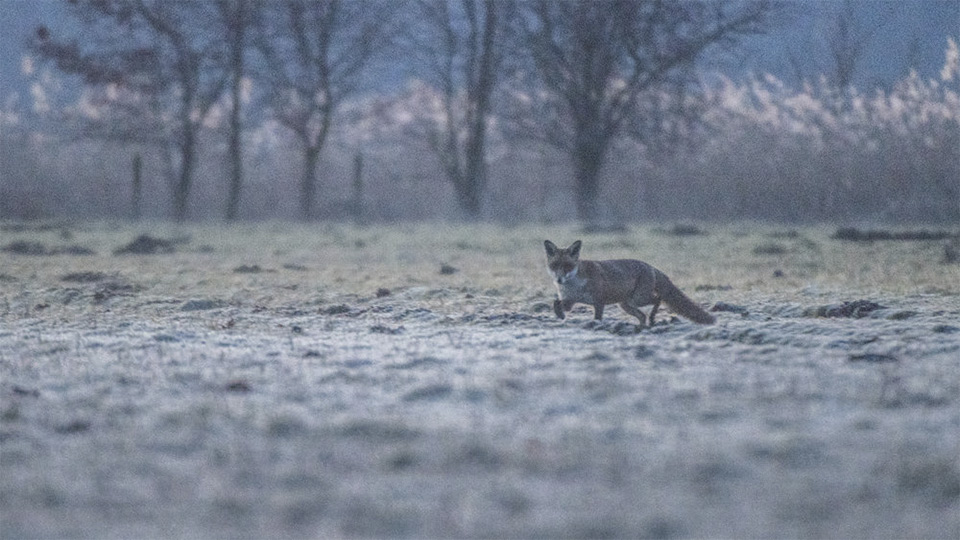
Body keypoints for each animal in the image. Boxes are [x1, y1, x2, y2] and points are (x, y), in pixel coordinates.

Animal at [548, 239, 712, 324]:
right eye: (554, 265)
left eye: (567, 266)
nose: (559, 279)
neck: (574, 286)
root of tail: (651, 266)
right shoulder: (569, 301)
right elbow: (556, 303)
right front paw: (560, 316)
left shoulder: (599, 302)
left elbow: (597, 317)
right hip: (627, 305)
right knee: (642, 316)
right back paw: (642, 328)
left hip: (638, 299)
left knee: (657, 299)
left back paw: (652, 320)